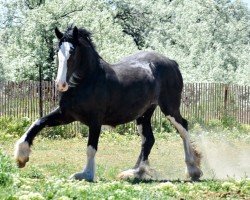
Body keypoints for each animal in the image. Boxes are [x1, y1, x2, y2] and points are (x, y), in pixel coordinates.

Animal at [14, 25, 203, 181]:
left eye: (72, 51)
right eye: (57, 51)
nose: (60, 84)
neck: (87, 81)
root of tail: (172, 62)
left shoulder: (95, 120)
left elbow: (91, 147)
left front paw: (86, 174)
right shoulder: (66, 115)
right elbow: (38, 122)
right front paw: (21, 157)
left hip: (169, 107)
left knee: (183, 128)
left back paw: (193, 170)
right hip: (144, 114)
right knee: (148, 139)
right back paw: (134, 173)